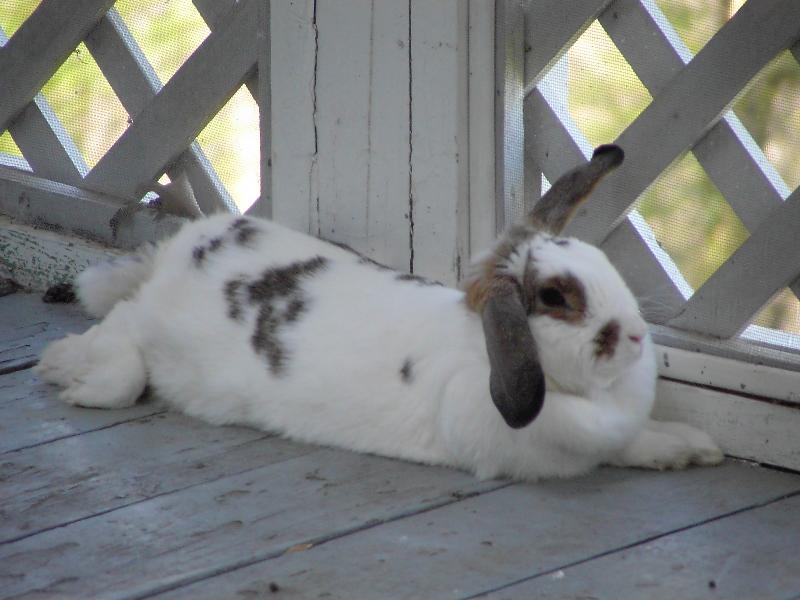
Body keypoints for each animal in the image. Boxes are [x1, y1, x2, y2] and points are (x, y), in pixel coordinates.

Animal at [36, 145, 723, 481]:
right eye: (556, 298)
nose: (634, 336)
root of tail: (187, 245)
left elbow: (636, 443)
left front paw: (692, 449)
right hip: (153, 329)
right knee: (121, 338)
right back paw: (66, 373)